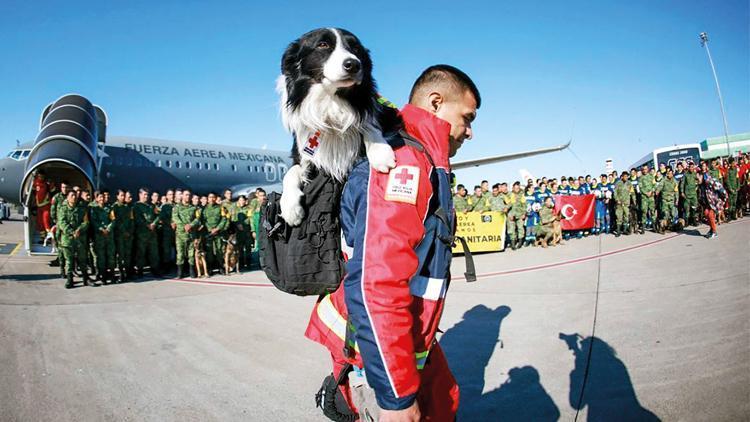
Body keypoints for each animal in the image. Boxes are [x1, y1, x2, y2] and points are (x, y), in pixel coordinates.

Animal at [278, 27, 406, 226]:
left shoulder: (384, 112)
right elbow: (291, 171)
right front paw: (290, 207)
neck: (332, 102)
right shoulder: (301, 151)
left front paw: (380, 152)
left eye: (355, 48)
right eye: (323, 45)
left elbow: (369, 123)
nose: (353, 65)